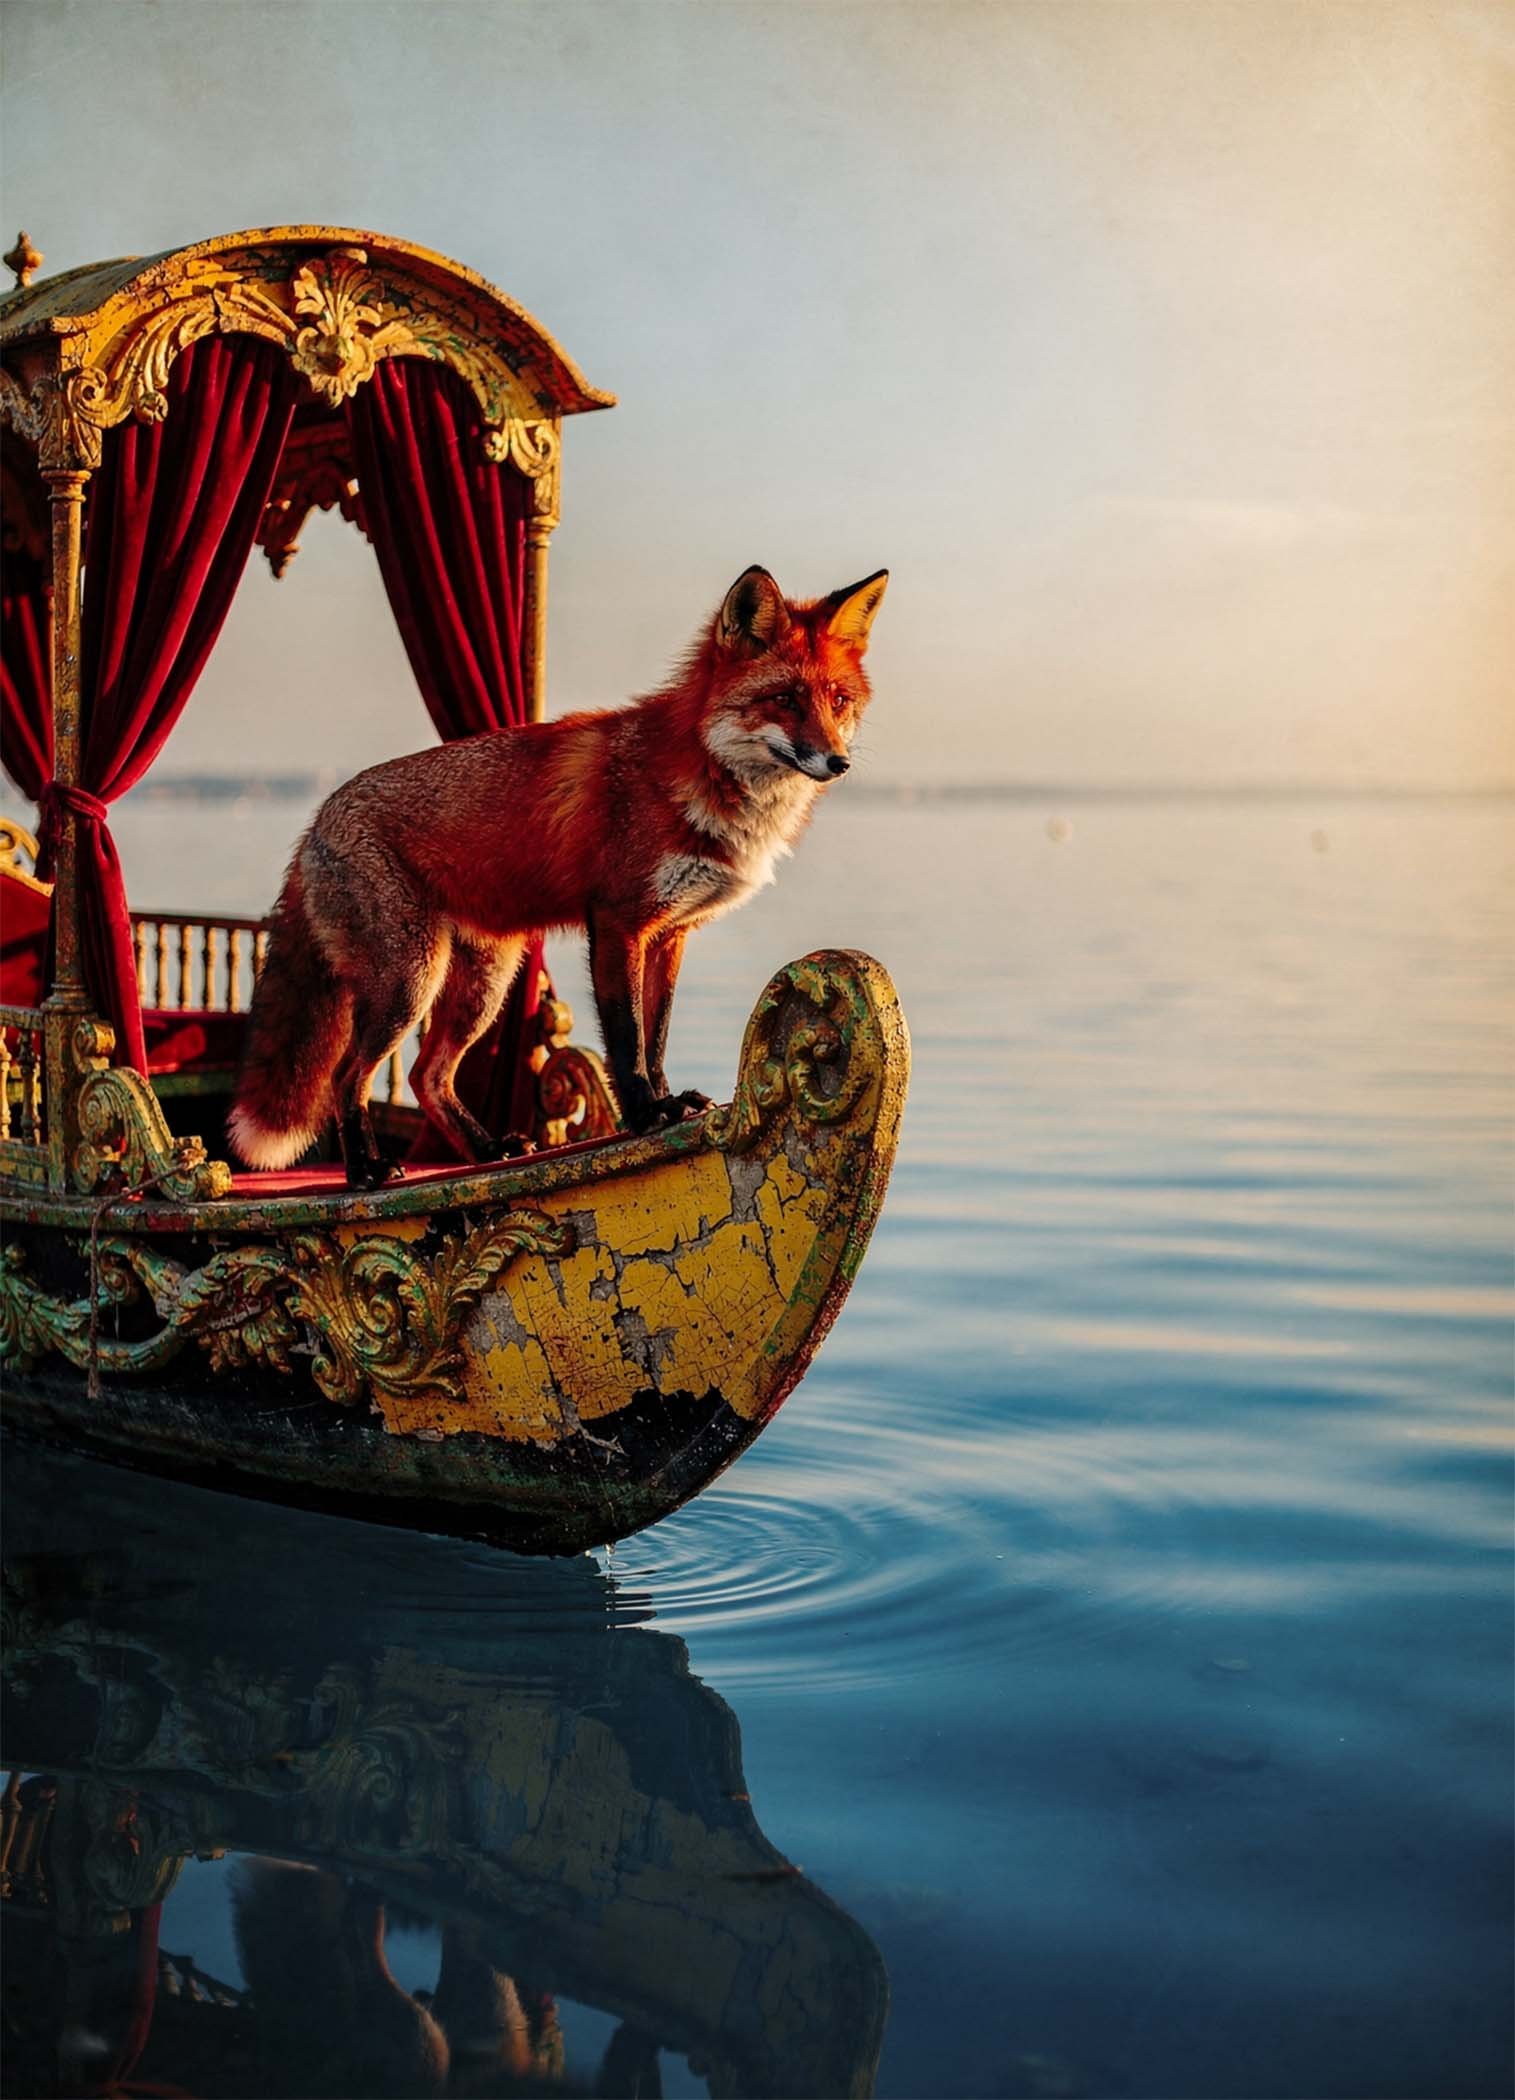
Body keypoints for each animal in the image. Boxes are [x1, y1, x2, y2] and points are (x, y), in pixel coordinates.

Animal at [229, 563, 888, 1188]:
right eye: (785, 700)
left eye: (837, 701)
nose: (838, 761)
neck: (701, 773)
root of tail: (314, 825)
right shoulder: (620, 920)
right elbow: (626, 1039)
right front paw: (646, 1116)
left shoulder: (671, 934)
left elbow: (657, 1035)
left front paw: (670, 1103)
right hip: (409, 981)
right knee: (347, 1076)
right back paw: (364, 1171)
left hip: (483, 984)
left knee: (426, 1076)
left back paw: (488, 1149)